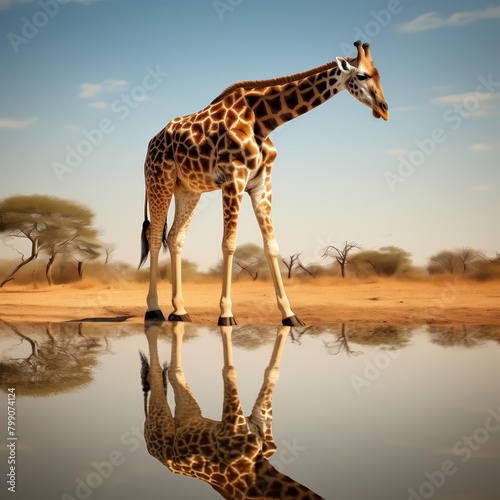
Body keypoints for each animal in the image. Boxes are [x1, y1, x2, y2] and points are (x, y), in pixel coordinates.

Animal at [140, 322, 324, 498]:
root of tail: (150, 448)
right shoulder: (232, 424)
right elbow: (230, 371)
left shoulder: (260, 426)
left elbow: (272, 372)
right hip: (160, 425)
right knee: (159, 370)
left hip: (187, 414)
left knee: (173, 373)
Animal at [141, 41, 390, 326]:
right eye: (361, 75)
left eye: (379, 75)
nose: (384, 109)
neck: (263, 120)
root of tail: (150, 144)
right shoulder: (234, 179)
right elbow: (229, 244)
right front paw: (226, 314)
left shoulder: (261, 184)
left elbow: (271, 246)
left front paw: (290, 314)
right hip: (159, 181)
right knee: (154, 236)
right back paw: (154, 309)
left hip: (189, 190)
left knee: (175, 237)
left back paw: (179, 310)